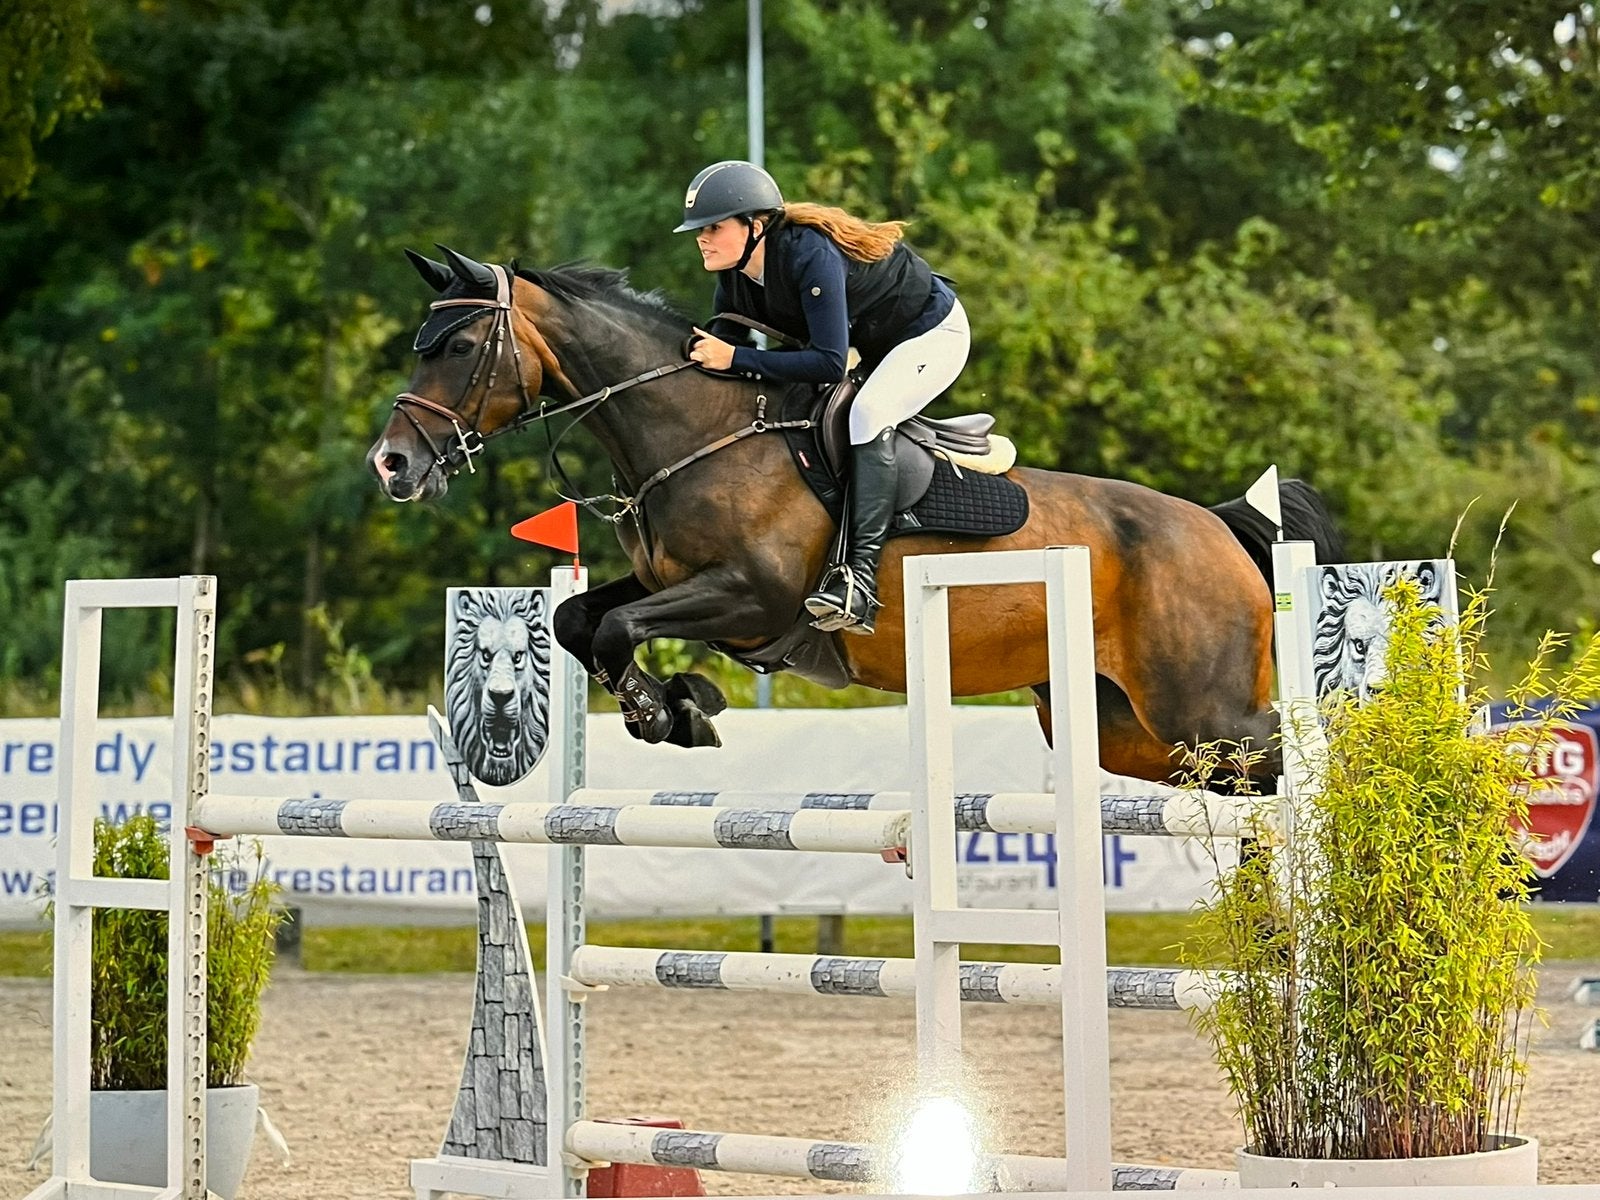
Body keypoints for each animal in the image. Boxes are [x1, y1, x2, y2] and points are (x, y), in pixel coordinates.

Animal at [368, 247, 1342, 784]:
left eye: (458, 345)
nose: (392, 464)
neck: (698, 431)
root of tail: (1217, 527)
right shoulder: (669, 584)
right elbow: (579, 619)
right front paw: (683, 708)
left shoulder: (750, 599)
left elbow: (612, 632)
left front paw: (664, 709)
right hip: (1126, 728)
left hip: (1201, 708)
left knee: (1303, 751)